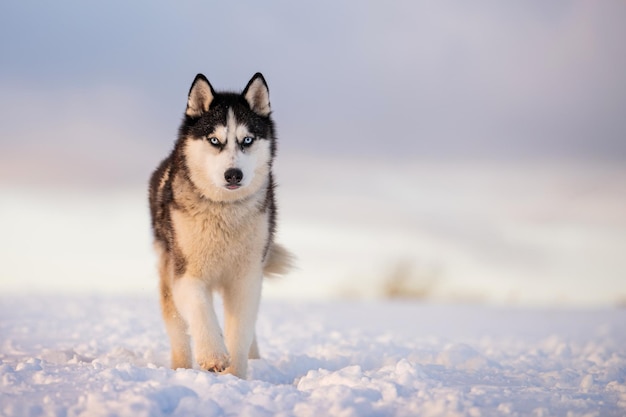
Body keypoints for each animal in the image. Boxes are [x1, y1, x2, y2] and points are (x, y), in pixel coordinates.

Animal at [149, 71, 290, 376]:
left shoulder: (246, 278)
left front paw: (236, 377)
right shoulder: (186, 274)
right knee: (178, 331)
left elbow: (240, 332)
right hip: (168, 276)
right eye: (214, 140)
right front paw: (212, 354)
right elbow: (201, 311)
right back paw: (181, 369)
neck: (224, 212)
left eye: (247, 140)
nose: (233, 174)